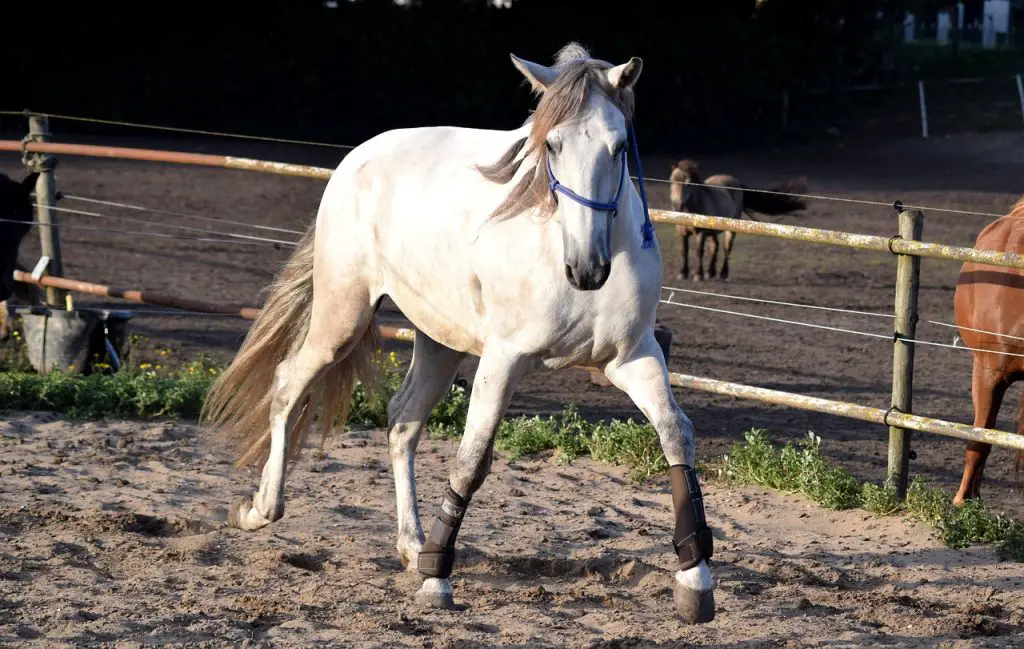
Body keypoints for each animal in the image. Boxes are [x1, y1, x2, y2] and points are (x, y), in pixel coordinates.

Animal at [197, 41, 712, 622]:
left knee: (402, 421)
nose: (586, 269)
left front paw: (696, 582)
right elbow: (470, 462)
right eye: (551, 145)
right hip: (342, 318)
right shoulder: (503, 360)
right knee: (288, 385)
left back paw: (412, 545)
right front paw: (437, 581)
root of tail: (359, 156)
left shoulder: (633, 357)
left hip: (439, 342)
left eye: (619, 145)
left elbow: (676, 433)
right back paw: (261, 510)